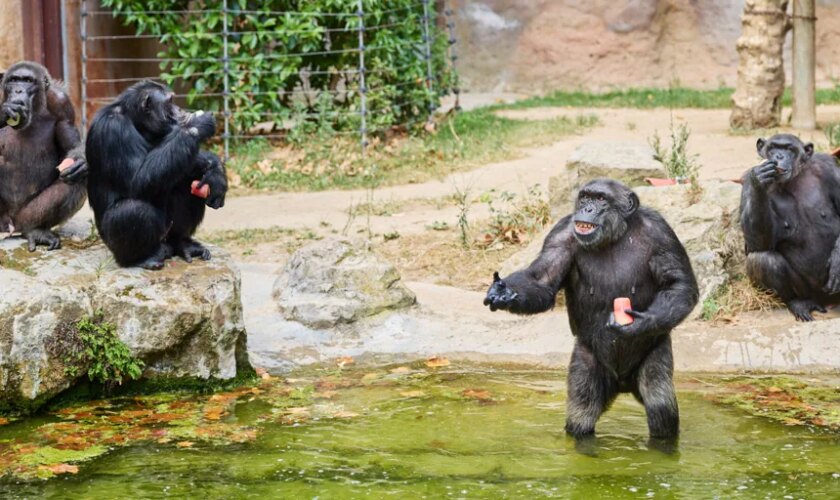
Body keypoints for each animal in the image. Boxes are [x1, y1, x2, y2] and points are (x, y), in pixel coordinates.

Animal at [0, 61, 88, 250]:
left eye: (27, 81)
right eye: (14, 80)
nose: (18, 90)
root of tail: (9, 224)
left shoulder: (63, 104)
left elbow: (72, 146)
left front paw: (81, 162)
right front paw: (4, 112)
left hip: (25, 215)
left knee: (78, 180)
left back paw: (35, 231)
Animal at [85, 81, 226, 270]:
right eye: (170, 101)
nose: (180, 109)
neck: (137, 122)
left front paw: (216, 175)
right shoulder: (113, 128)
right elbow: (138, 180)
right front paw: (197, 124)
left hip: (168, 233)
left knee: (187, 182)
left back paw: (182, 243)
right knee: (133, 210)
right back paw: (141, 258)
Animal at [482, 179, 700, 442]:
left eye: (601, 199)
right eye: (585, 197)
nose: (587, 208)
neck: (615, 235)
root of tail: (623, 385)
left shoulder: (661, 233)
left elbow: (678, 284)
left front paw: (640, 323)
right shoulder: (560, 234)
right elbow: (543, 280)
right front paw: (503, 292)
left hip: (656, 351)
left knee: (660, 404)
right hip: (587, 360)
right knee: (581, 411)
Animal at [740, 133, 840, 322]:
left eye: (789, 149)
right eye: (773, 148)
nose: (779, 156)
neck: (795, 178)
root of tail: (824, 300)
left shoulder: (831, 169)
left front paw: (838, 263)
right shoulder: (746, 182)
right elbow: (755, 245)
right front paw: (760, 180)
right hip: (808, 291)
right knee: (762, 259)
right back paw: (799, 303)